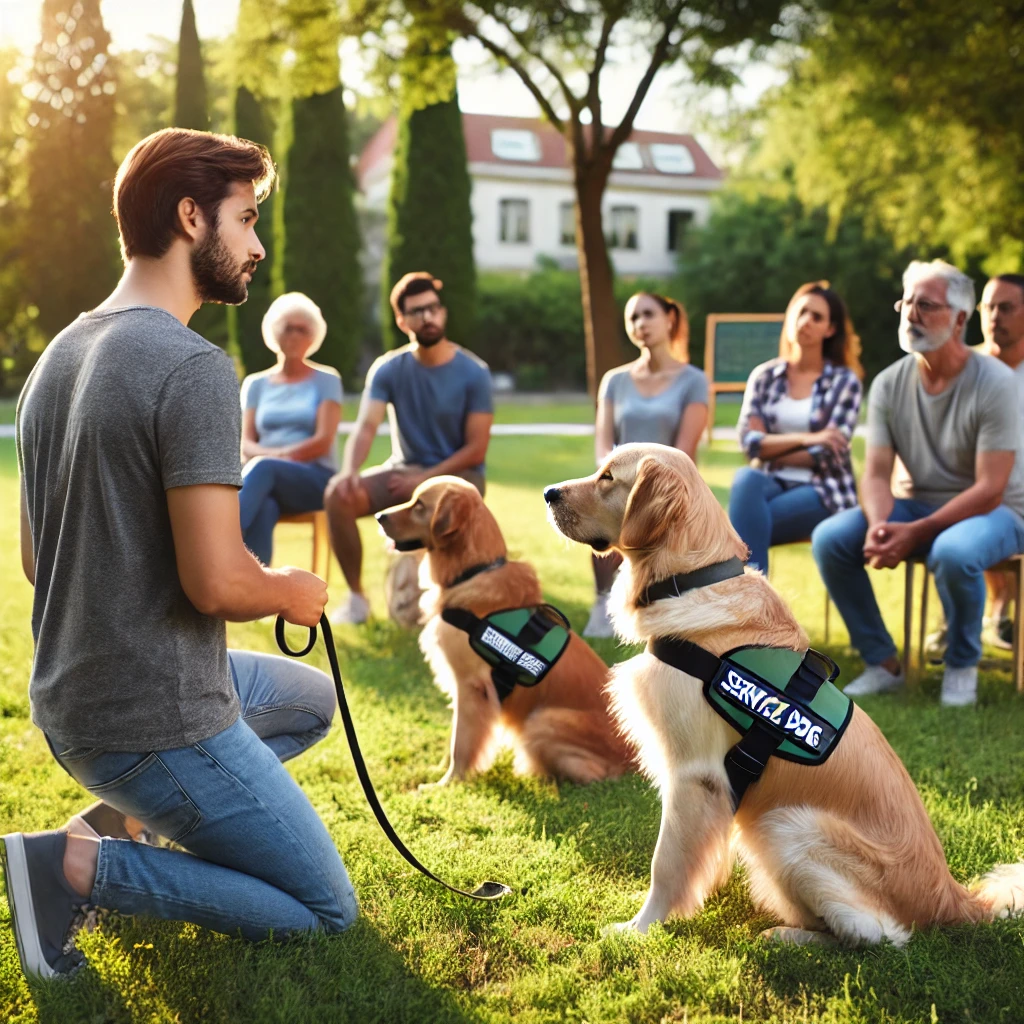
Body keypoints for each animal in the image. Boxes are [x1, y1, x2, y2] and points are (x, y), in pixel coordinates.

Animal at [376, 477, 630, 782]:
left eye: (419, 505)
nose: (379, 516)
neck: (473, 571)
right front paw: (437, 771)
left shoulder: (472, 688)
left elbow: (461, 742)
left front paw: (449, 782)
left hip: (540, 720)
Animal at [544, 440, 1024, 942]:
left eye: (607, 477)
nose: (548, 494)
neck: (694, 579)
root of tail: (952, 897)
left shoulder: (695, 775)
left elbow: (667, 863)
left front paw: (641, 928)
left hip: (787, 824)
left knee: (880, 935)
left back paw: (787, 936)